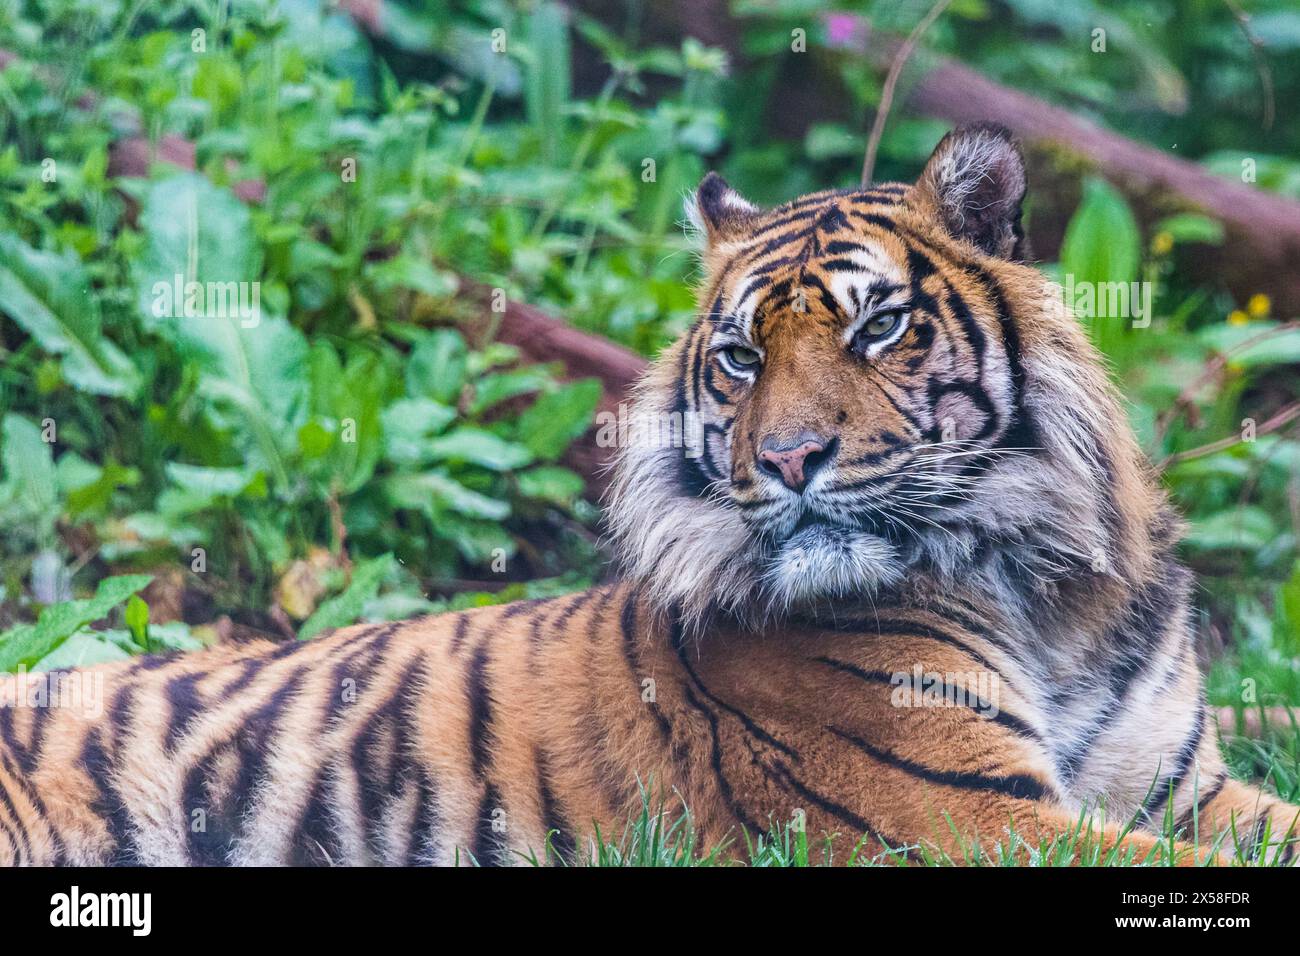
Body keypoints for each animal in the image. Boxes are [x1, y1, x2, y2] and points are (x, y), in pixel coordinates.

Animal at [0, 121, 1294, 868]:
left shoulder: (1183, 785)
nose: (788, 460)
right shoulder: (955, 812)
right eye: (739, 357)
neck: (1041, 588)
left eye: (877, 327)